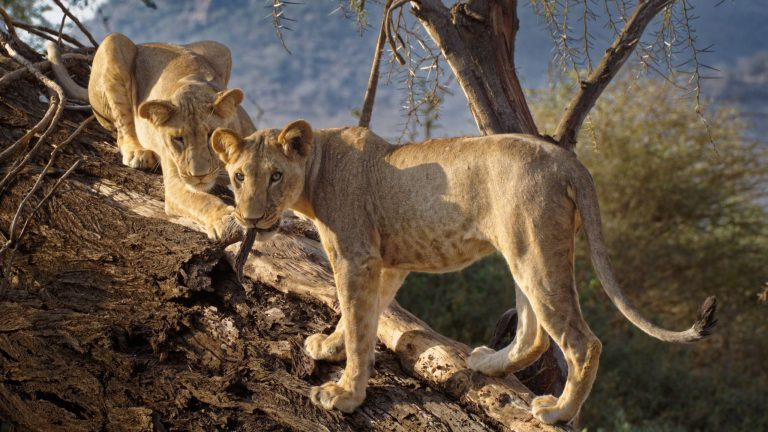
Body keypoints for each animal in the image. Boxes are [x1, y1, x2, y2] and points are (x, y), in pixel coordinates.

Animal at [47, 34, 254, 239]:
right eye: (178, 139)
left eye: (210, 134)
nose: (199, 176)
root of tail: (144, 44)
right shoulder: (175, 184)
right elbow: (202, 200)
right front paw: (226, 221)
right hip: (113, 43)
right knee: (122, 130)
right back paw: (137, 153)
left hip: (220, 48)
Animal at [210, 121, 717, 425]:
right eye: (238, 176)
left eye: (275, 176)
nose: (251, 216)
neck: (316, 170)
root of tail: (568, 160)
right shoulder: (387, 262)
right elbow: (361, 320)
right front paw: (331, 348)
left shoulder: (356, 257)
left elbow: (356, 321)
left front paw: (345, 395)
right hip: (522, 248)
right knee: (534, 333)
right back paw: (488, 363)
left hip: (534, 247)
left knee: (580, 341)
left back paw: (557, 412)